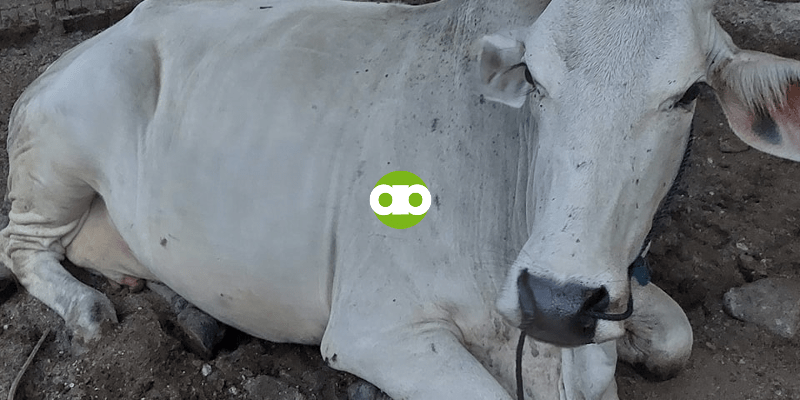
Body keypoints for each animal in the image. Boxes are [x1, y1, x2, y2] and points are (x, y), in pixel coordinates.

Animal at [1, 0, 799, 398]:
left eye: (689, 93)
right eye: (535, 79)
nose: (556, 300)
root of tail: (109, 30)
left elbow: (675, 338)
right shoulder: (378, 328)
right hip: (57, 156)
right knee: (21, 245)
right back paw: (88, 309)